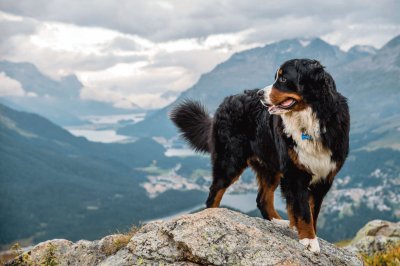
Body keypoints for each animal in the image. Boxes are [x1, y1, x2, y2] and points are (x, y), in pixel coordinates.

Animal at [170, 58, 348, 254]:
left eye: (283, 79)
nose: (260, 94)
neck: (309, 122)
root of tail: (225, 101)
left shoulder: (323, 178)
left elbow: (312, 212)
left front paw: (309, 235)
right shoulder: (295, 174)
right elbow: (303, 211)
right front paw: (308, 239)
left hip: (269, 167)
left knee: (262, 199)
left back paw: (278, 222)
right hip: (230, 161)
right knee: (214, 193)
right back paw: (213, 216)